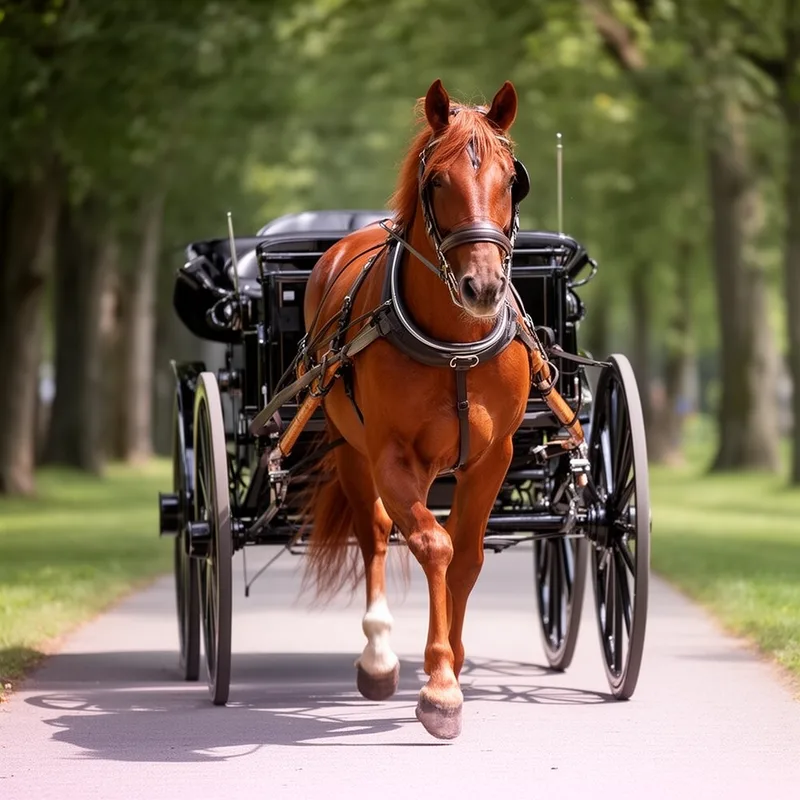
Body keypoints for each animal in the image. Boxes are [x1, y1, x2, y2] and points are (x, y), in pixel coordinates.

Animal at [300, 78, 536, 740]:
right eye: (436, 181)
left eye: (513, 181)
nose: (484, 287)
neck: (455, 345)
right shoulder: (392, 456)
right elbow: (433, 545)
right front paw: (438, 687)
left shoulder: (491, 458)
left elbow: (467, 556)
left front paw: (452, 663)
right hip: (352, 451)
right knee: (376, 535)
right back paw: (379, 656)